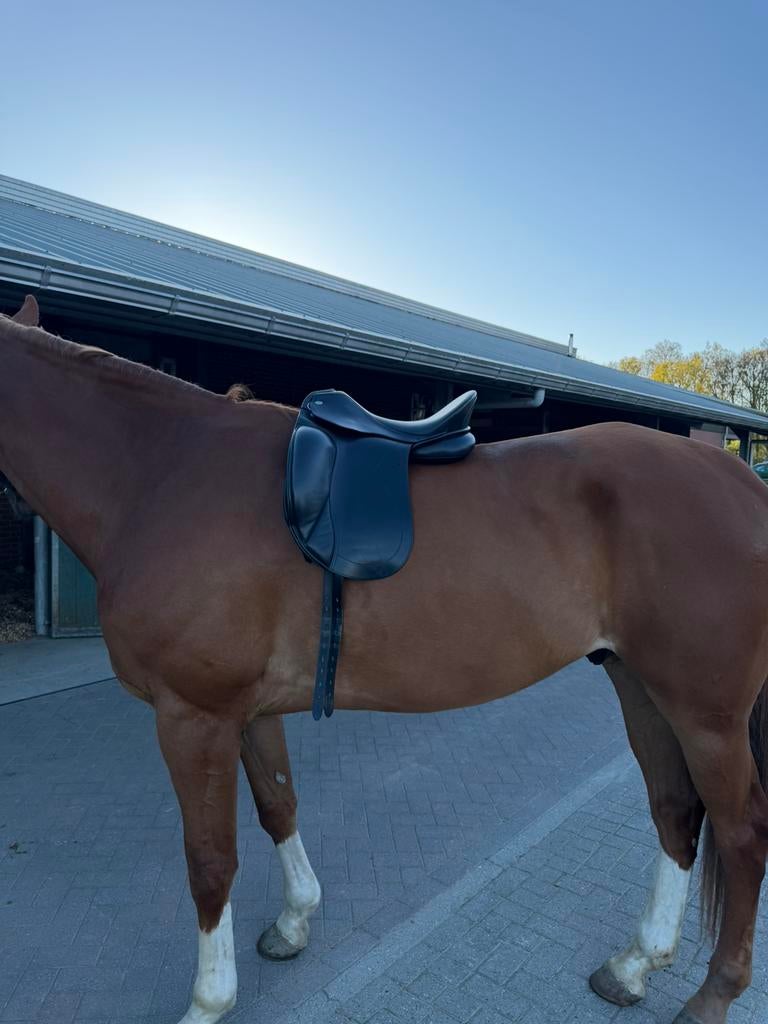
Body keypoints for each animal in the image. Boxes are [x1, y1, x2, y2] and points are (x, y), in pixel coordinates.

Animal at [1, 294, 767, 1024]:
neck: (158, 472)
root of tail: (744, 480)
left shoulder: (192, 717)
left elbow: (210, 860)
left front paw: (209, 1001)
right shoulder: (244, 712)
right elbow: (278, 804)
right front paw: (295, 920)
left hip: (707, 715)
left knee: (741, 832)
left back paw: (712, 995)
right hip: (640, 685)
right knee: (674, 811)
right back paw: (634, 965)